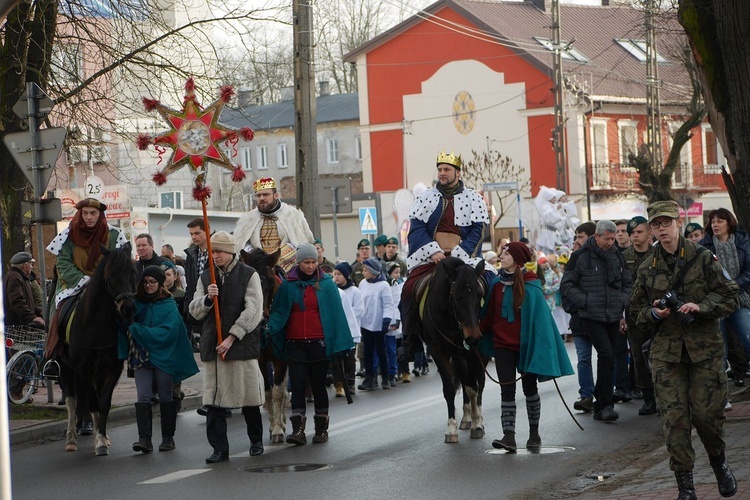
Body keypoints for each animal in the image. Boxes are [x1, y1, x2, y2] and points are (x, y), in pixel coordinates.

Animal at [241, 248, 290, 444]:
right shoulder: (261, 359)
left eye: (270, 280)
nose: (259, 319)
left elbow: (278, 392)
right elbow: (268, 392)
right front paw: (273, 427)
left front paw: (278, 429)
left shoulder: (281, 358)